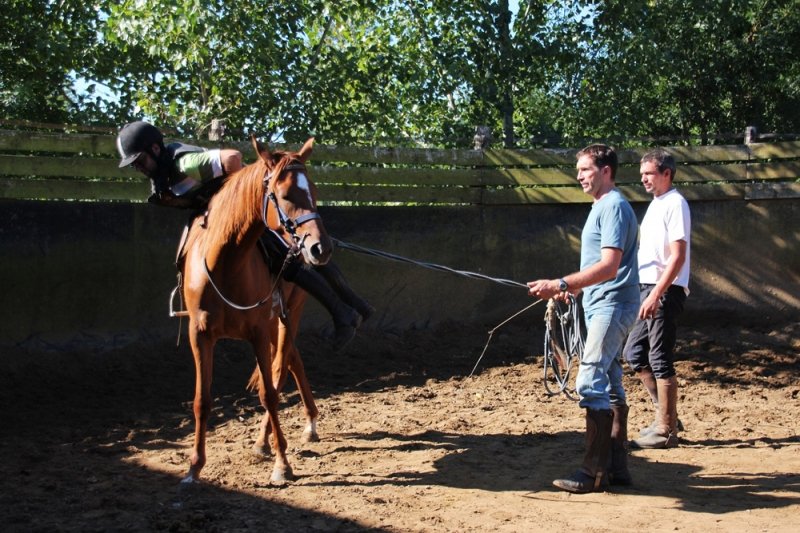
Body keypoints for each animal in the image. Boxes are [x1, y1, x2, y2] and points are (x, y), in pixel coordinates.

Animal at [179, 136, 327, 483]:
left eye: (313, 191)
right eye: (284, 195)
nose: (319, 247)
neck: (225, 263)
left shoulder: (258, 332)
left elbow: (268, 393)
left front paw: (282, 464)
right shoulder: (199, 334)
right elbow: (202, 400)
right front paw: (194, 466)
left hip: (288, 315)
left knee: (282, 367)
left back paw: (276, 437)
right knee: (293, 361)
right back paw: (297, 427)